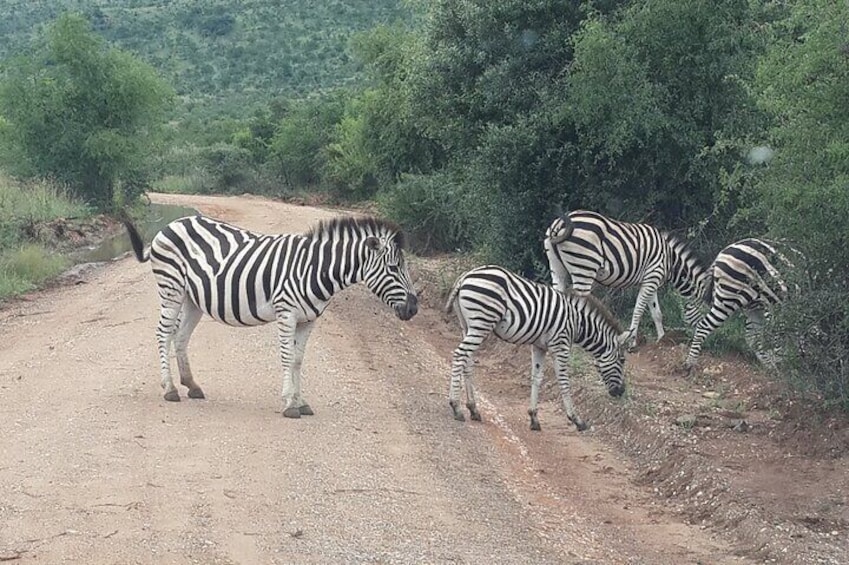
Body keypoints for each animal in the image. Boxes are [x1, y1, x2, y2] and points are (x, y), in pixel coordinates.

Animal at [125, 212, 418, 414]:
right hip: (171, 288)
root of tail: (170, 225)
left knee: (180, 336)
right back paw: (170, 389)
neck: (316, 268)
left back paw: (192, 385)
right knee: (163, 333)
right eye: (394, 268)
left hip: (192, 299)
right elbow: (287, 357)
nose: (414, 308)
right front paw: (289, 405)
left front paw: (301, 402)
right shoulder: (286, 312)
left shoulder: (309, 320)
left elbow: (298, 360)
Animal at [444, 264, 628, 432]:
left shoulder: (540, 346)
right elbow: (564, 381)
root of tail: (466, 276)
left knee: (467, 361)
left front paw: (534, 418)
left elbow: (537, 378)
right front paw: (576, 419)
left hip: (467, 326)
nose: (621, 392)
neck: (578, 323)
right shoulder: (560, 345)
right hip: (481, 323)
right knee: (459, 354)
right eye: (622, 360)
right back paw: (456, 407)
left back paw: (473, 408)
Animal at [544, 210, 708, 348]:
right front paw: (632, 341)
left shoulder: (651, 281)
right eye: (704, 311)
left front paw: (662, 338)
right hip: (584, 267)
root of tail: (560, 223)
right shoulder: (652, 277)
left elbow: (656, 313)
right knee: (579, 300)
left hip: (557, 267)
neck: (670, 259)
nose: (703, 339)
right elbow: (638, 310)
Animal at [680, 237, 800, 370]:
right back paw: (690, 363)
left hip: (751, 303)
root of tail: (721, 255)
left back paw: (771, 365)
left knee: (754, 336)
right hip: (730, 298)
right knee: (704, 325)